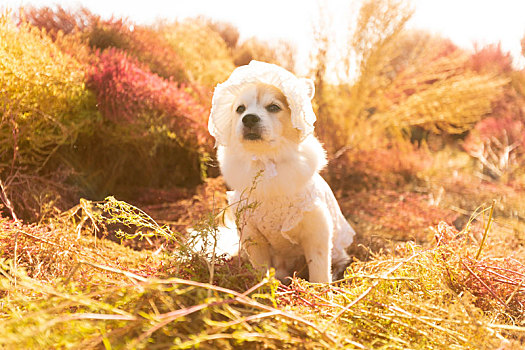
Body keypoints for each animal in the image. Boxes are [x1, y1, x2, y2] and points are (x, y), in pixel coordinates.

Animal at [207, 60, 354, 284]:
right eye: (240, 109)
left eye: (273, 107)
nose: (249, 119)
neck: (267, 162)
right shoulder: (252, 235)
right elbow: (261, 269)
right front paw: (264, 286)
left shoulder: (317, 232)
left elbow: (319, 271)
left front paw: (320, 290)